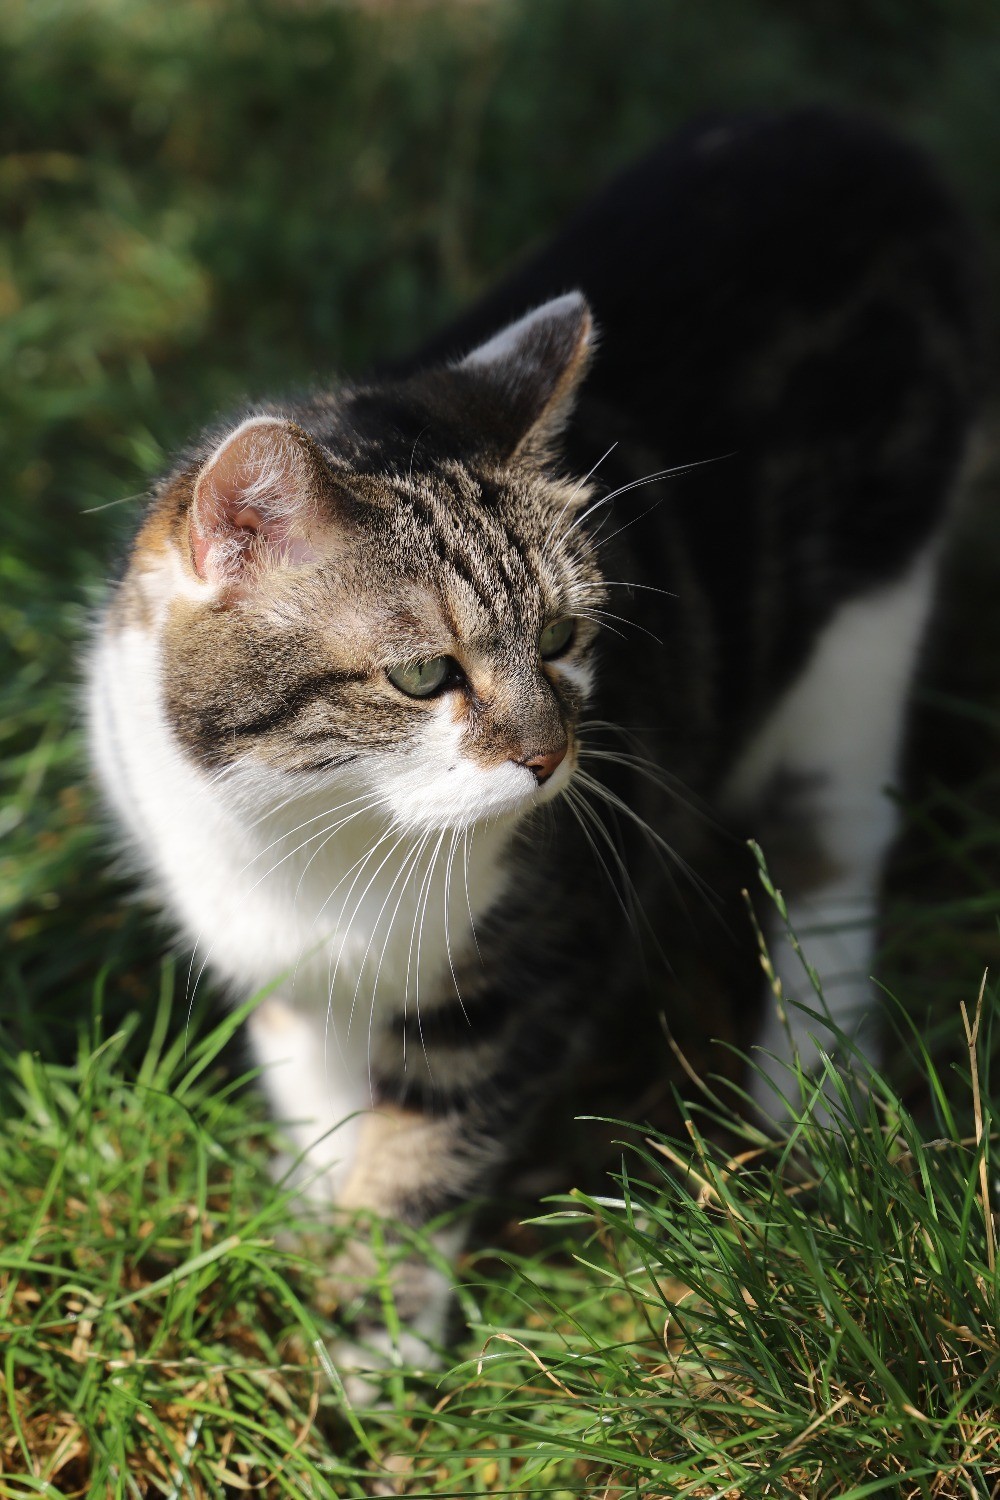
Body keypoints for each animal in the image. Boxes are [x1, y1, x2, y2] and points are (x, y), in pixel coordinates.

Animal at [88, 108, 983, 1374]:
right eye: (423, 675)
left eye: (561, 637)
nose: (550, 757)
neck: (306, 831)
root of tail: (848, 135)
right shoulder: (278, 962)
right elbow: (318, 1090)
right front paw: (308, 1213)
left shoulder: (536, 954)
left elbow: (429, 1137)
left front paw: (369, 1333)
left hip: (867, 620)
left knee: (832, 846)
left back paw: (812, 1079)